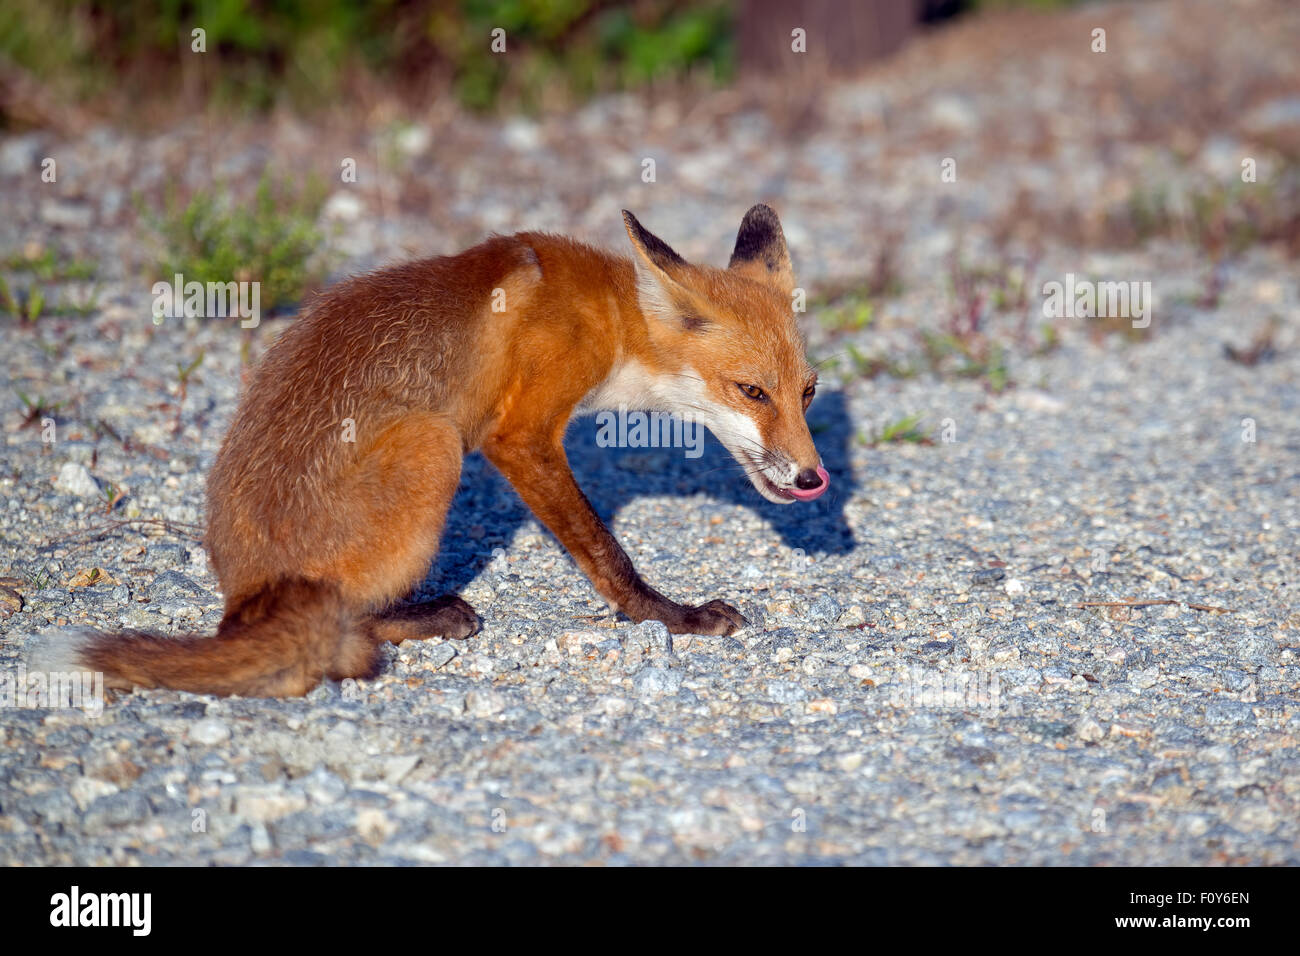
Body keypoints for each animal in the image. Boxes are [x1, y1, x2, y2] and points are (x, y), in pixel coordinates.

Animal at [29, 204, 829, 697]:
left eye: (808, 392)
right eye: (752, 391)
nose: (814, 477)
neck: (610, 318)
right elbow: (608, 555)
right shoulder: (519, 437)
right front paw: (669, 616)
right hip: (433, 443)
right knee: (346, 630)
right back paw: (417, 622)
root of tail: (247, 594)